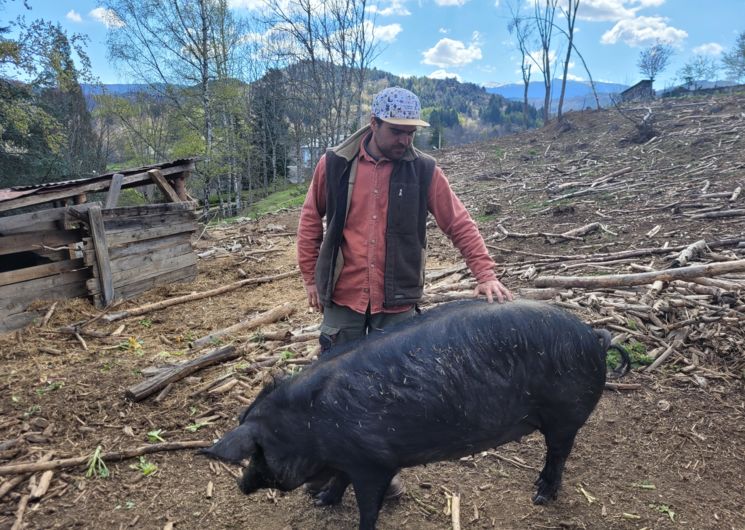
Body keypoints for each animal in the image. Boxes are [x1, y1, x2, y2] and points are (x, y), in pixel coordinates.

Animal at [199, 300, 628, 524]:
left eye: (258, 452)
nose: (241, 485)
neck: (307, 425)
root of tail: (594, 335)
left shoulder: (373, 461)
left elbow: (367, 504)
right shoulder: (347, 457)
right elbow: (339, 479)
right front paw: (322, 501)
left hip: (565, 414)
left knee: (558, 454)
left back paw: (540, 496)